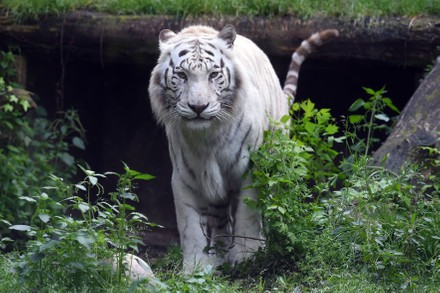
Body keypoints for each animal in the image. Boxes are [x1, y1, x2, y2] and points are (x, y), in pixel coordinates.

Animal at [148, 24, 336, 272]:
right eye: (182, 75)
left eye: (213, 75)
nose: (198, 107)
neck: (207, 137)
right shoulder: (185, 177)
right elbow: (190, 225)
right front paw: (196, 267)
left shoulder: (251, 170)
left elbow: (248, 214)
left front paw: (248, 257)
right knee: (220, 218)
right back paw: (219, 254)